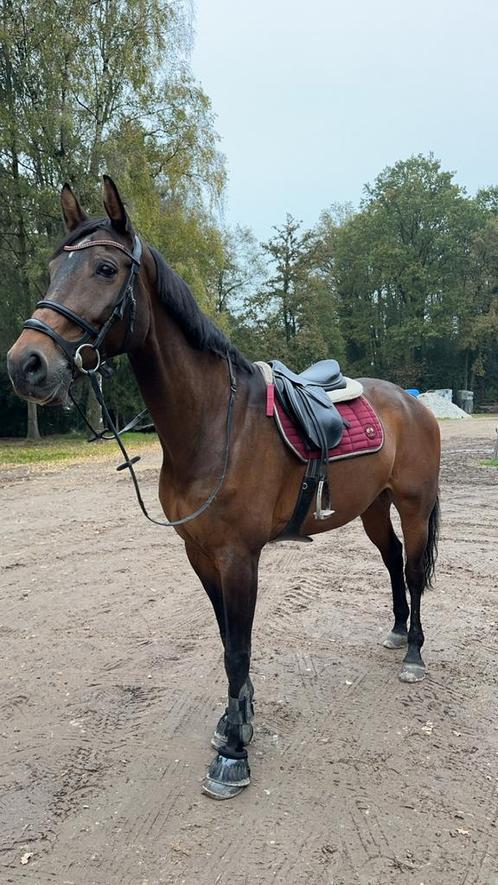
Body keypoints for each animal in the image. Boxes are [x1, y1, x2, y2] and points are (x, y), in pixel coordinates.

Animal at [6, 178, 440, 800]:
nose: (26, 364)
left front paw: (234, 752)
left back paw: (414, 653)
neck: (215, 424)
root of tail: (413, 403)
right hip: (374, 510)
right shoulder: (200, 554)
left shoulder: (239, 557)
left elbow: (238, 647)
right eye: (50, 270)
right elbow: (225, 640)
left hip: (414, 505)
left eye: (106, 268)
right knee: (391, 562)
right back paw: (398, 632)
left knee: (411, 567)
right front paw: (237, 718)